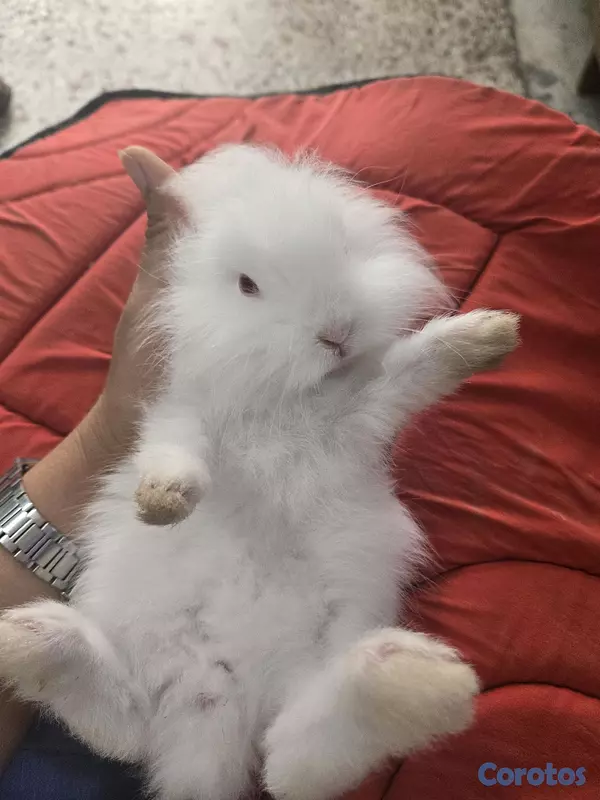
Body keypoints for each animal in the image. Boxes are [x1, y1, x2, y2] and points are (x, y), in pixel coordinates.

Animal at [0, 145, 519, 800]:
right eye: (247, 285)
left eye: (344, 244)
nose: (337, 333)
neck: (284, 398)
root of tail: (220, 698)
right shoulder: (182, 409)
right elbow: (176, 450)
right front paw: (163, 501)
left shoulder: (368, 405)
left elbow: (415, 366)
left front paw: (491, 334)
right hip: (153, 658)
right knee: (135, 730)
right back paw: (29, 642)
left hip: (323, 648)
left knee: (288, 760)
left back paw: (415, 679)